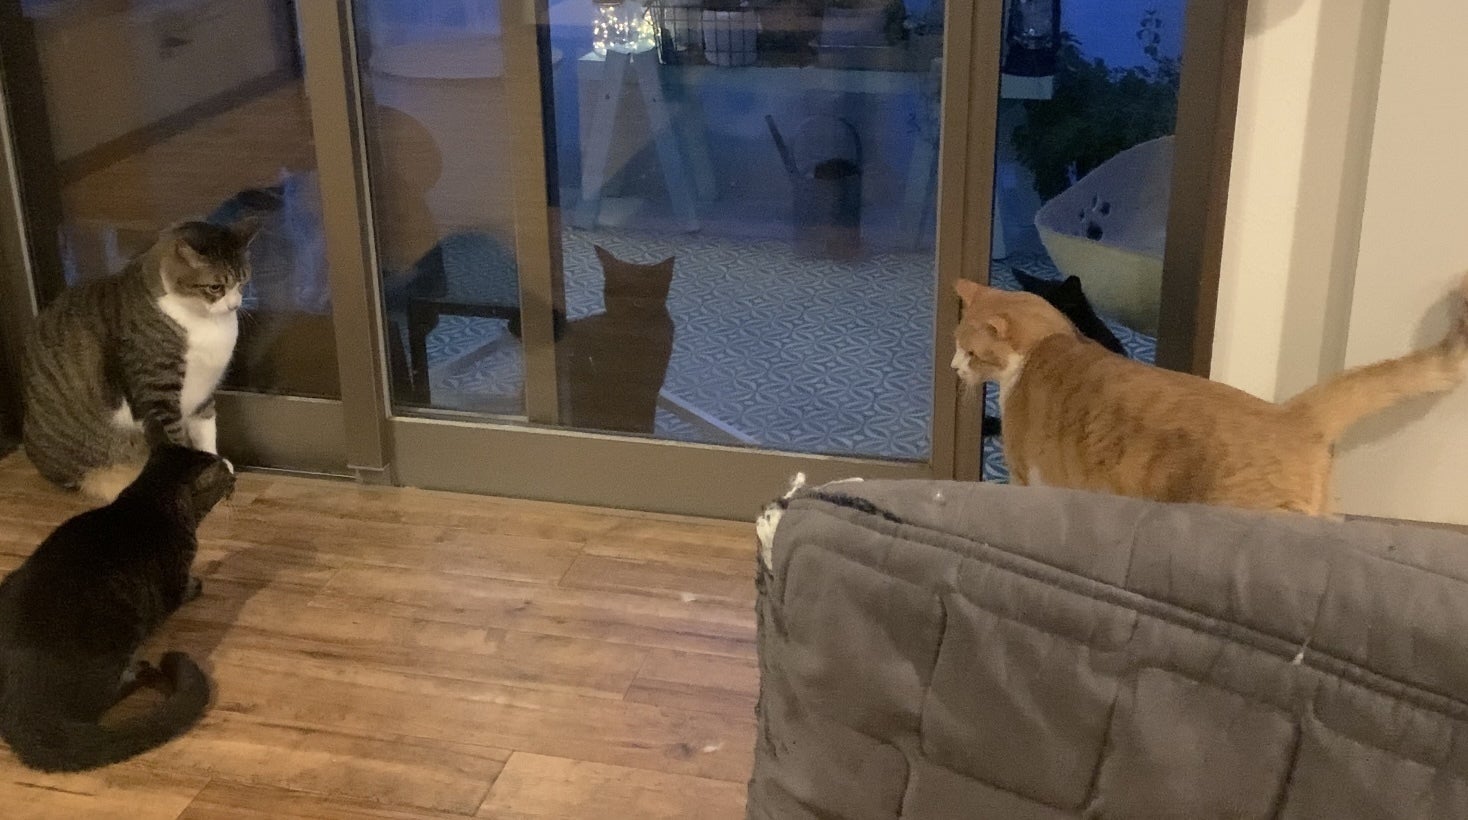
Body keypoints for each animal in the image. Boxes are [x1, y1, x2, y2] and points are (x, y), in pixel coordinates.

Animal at [0, 428, 234, 772]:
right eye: (225, 474)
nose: (236, 477)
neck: (149, 499)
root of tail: (21, 709)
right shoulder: (174, 581)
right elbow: (184, 589)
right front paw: (197, 583)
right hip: (119, 633)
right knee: (100, 701)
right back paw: (139, 671)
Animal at [22, 219, 256, 501]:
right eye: (215, 287)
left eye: (242, 282)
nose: (234, 306)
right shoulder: (159, 394)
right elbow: (178, 440)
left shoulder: (203, 391)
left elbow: (206, 431)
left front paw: (217, 464)